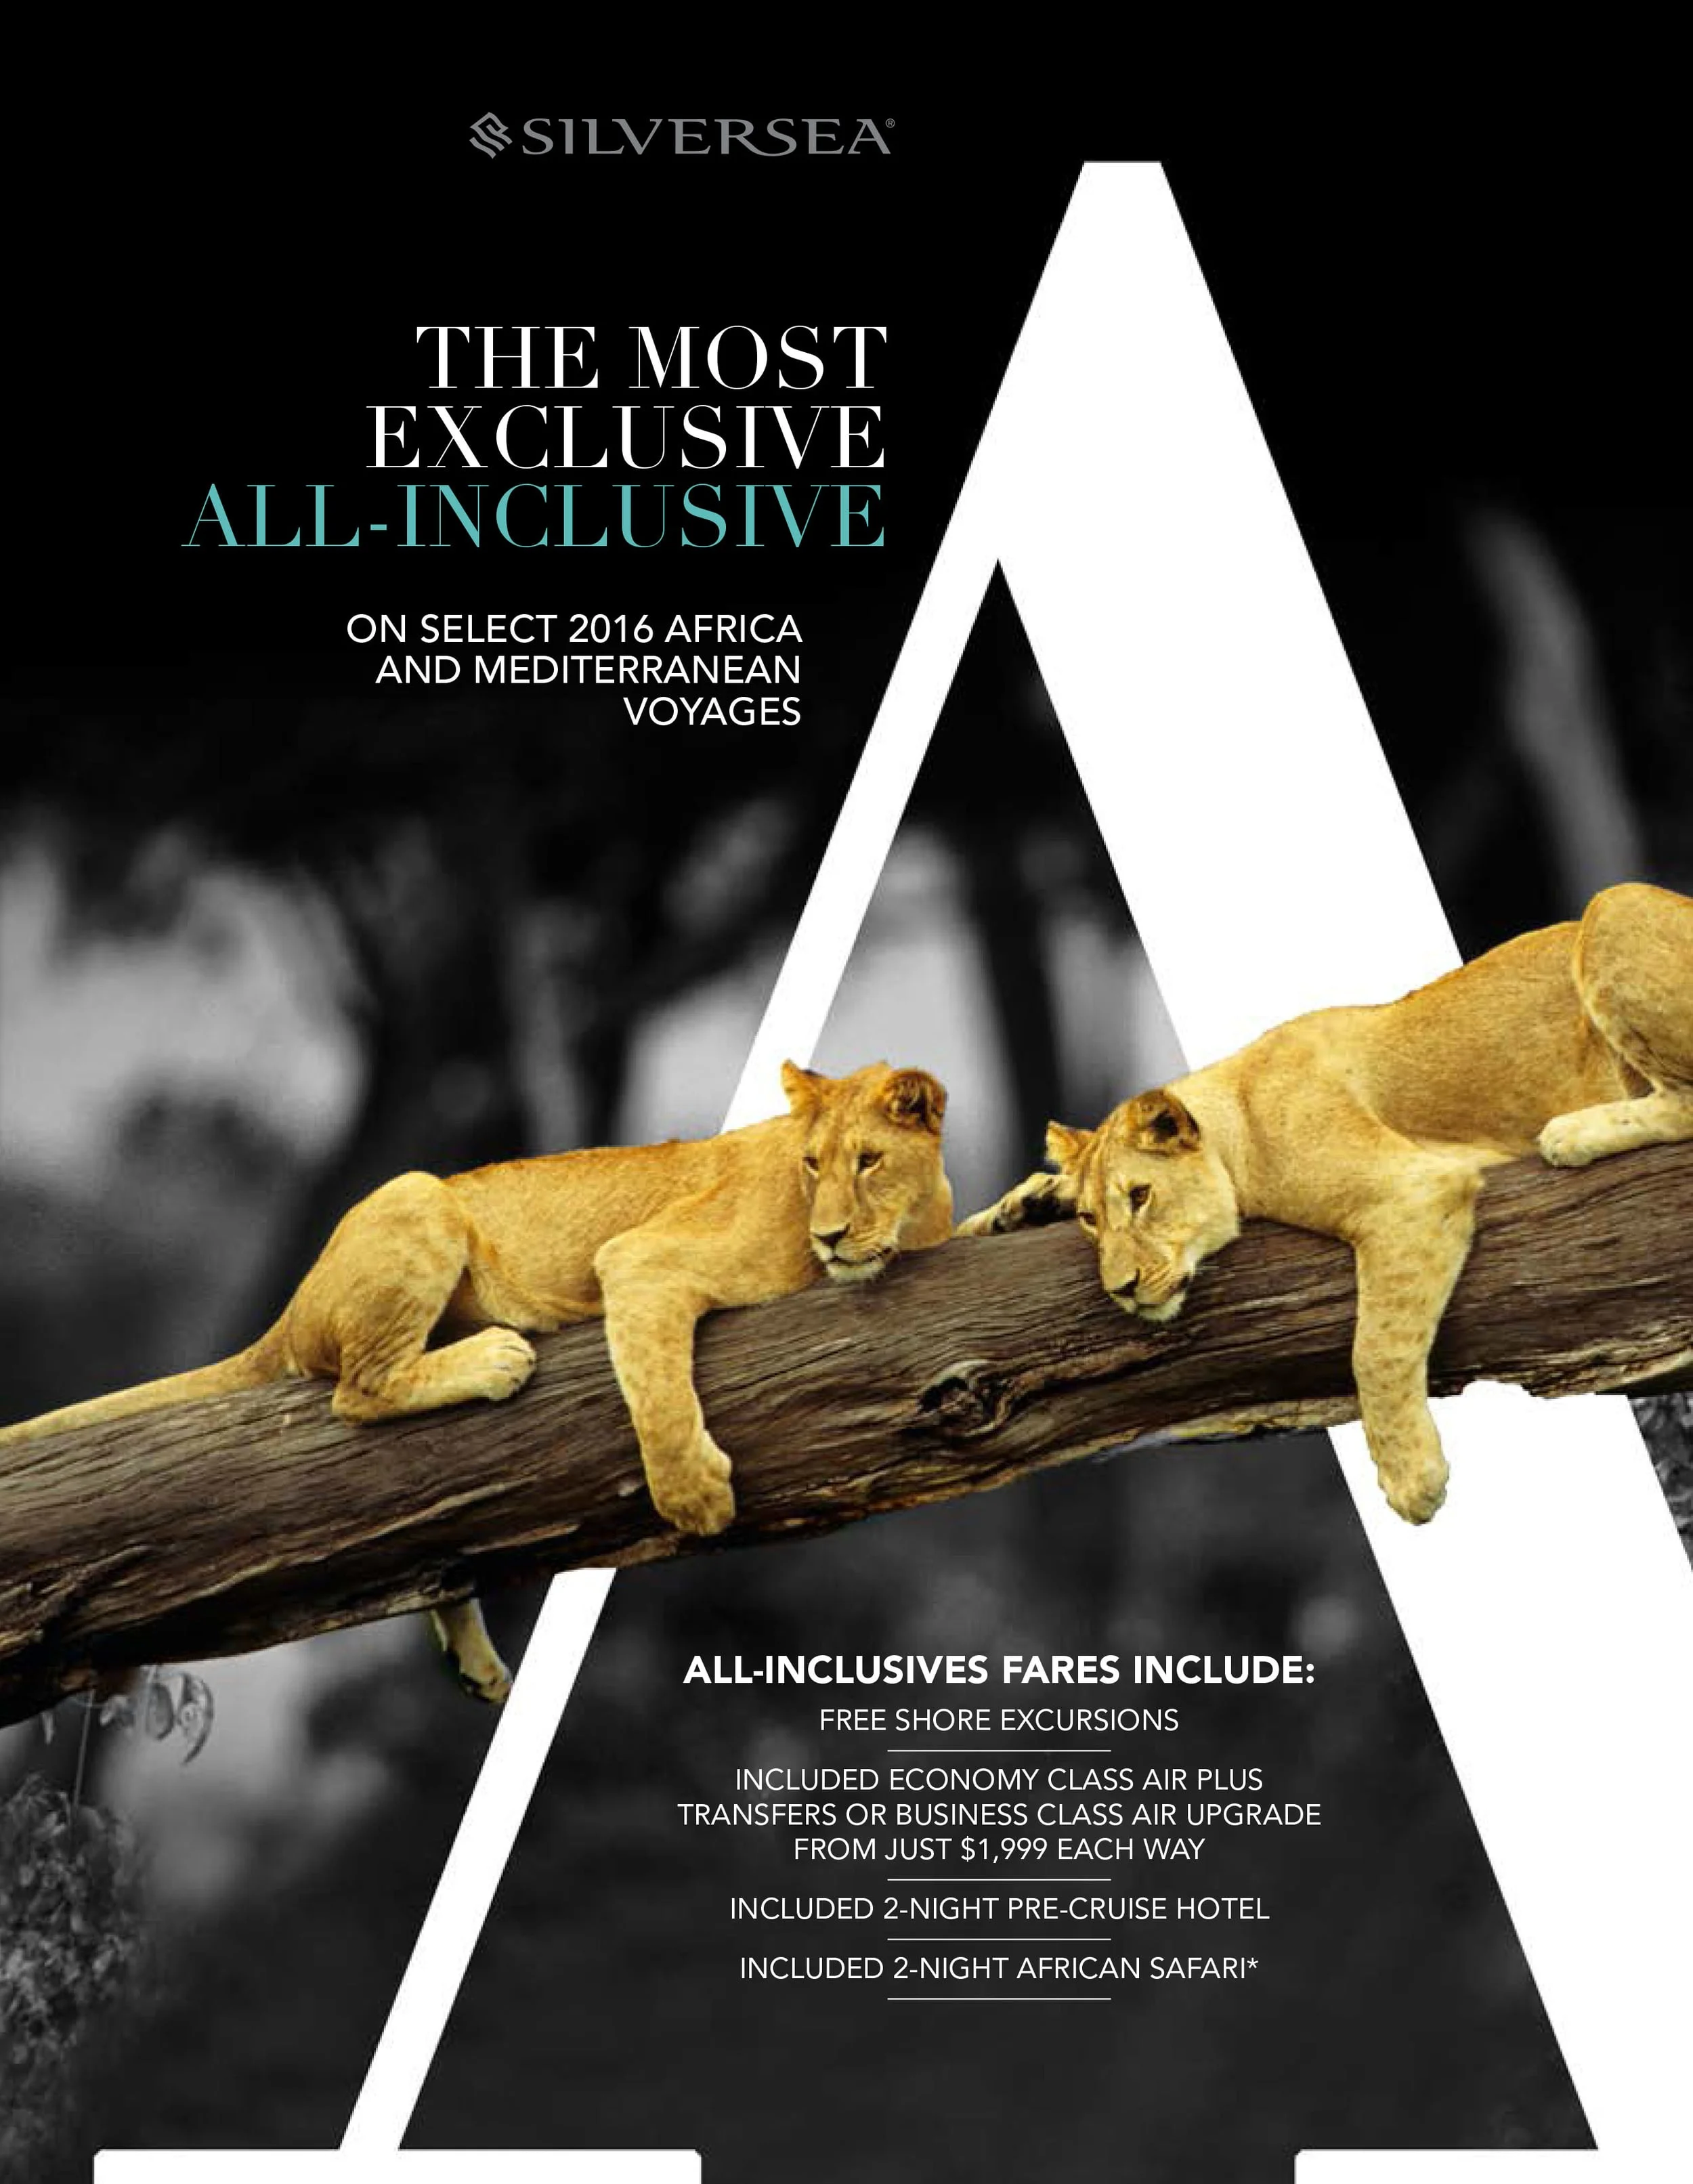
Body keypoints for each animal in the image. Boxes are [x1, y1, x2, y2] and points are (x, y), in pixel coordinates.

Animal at [0, 1059, 954, 1698]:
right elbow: (658, 1393)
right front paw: (694, 1500)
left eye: (867, 1160)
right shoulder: (639, 1263)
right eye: (812, 1164)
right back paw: (496, 1359)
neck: (914, 1224)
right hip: (422, 1195)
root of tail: (294, 1302)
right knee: (357, 1388)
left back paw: (475, 1661)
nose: (830, 1235)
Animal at [958, 882, 1693, 1525]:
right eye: (1092, 1220)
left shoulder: (1411, 1189)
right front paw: (1012, 1209)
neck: (1237, 1114)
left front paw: (1411, 1479)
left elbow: (1374, 1346)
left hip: (1612, 906)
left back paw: (1572, 1134)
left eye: (1141, 1197)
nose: (1122, 1289)